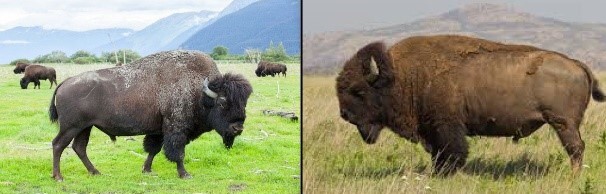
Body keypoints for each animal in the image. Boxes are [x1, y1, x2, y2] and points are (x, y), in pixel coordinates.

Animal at [48, 49, 254, 180]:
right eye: (222, 103)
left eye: (244, 103)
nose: (238, 128)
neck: (200, 92)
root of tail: (65, 83)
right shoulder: (176, 129)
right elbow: (177, 152)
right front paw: (185, 174)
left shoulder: (158, 130)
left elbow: (153, 149)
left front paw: (146, 170)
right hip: (71, 127)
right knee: (58, 145)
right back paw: (58, 177)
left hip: (85, 127)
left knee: (79, 147)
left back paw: (95, 172)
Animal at [338, 35, 606, 176]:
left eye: (358, 91)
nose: (344, 114)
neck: (403, 76)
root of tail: (576, 63)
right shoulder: (432, 132)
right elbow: (438, 154)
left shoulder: (446, 128)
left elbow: (452, 153)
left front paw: (444, 175)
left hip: (563, 124)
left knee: (575, 148)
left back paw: (574, 176)